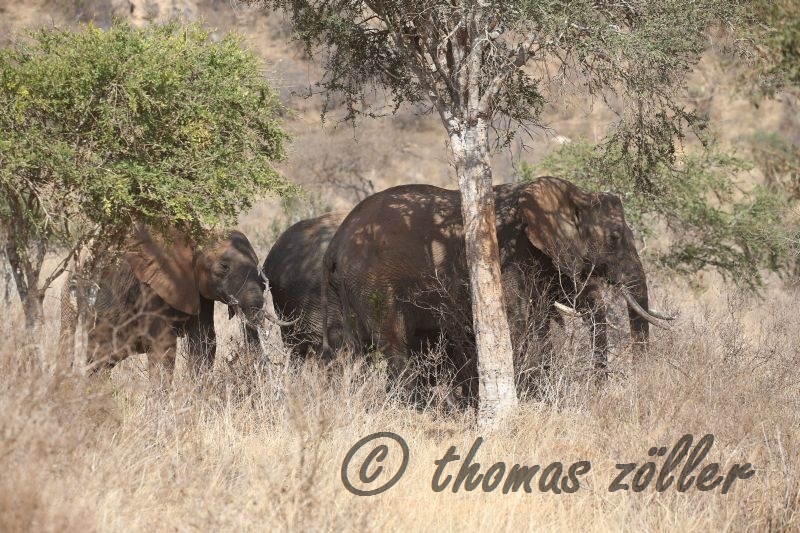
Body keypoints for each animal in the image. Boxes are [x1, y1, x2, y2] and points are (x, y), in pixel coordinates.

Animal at [320, 176, 673, 398]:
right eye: (614, 238)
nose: (601, 387)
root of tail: (335, 246)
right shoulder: (508, 258)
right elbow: (521, 328)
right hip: (374, 286)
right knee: (394, 348)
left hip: (341, 291)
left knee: (348, 353)